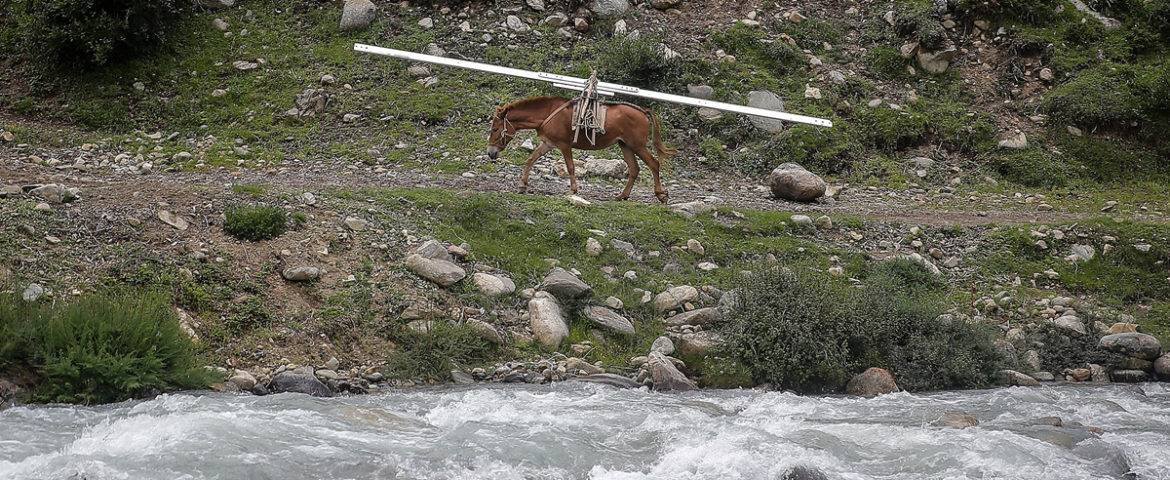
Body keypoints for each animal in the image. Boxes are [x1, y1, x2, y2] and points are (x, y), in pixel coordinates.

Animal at [486, 95, 678, 202]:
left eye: (495, 128)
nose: (490, 153)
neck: (547, 113)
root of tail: (643, 111)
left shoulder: (564, 145)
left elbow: (571, 167)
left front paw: (573, 190)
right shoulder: (548, 143)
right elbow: (530, 160)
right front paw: (522, 186)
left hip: (637, 145)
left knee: (653, 164)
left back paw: (660, 195)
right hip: (625, 145)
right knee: (634, 169)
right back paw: (622, 196)